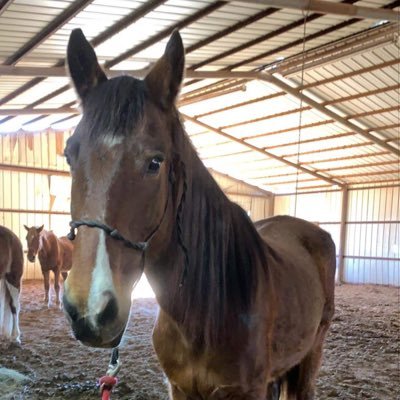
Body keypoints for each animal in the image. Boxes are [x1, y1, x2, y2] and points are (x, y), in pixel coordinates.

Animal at [63, 28, 338, 400]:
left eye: (155, 162)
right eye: (68, 154)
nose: (90, 310)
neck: (206, 308)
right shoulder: (179, 387)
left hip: (311, 356)